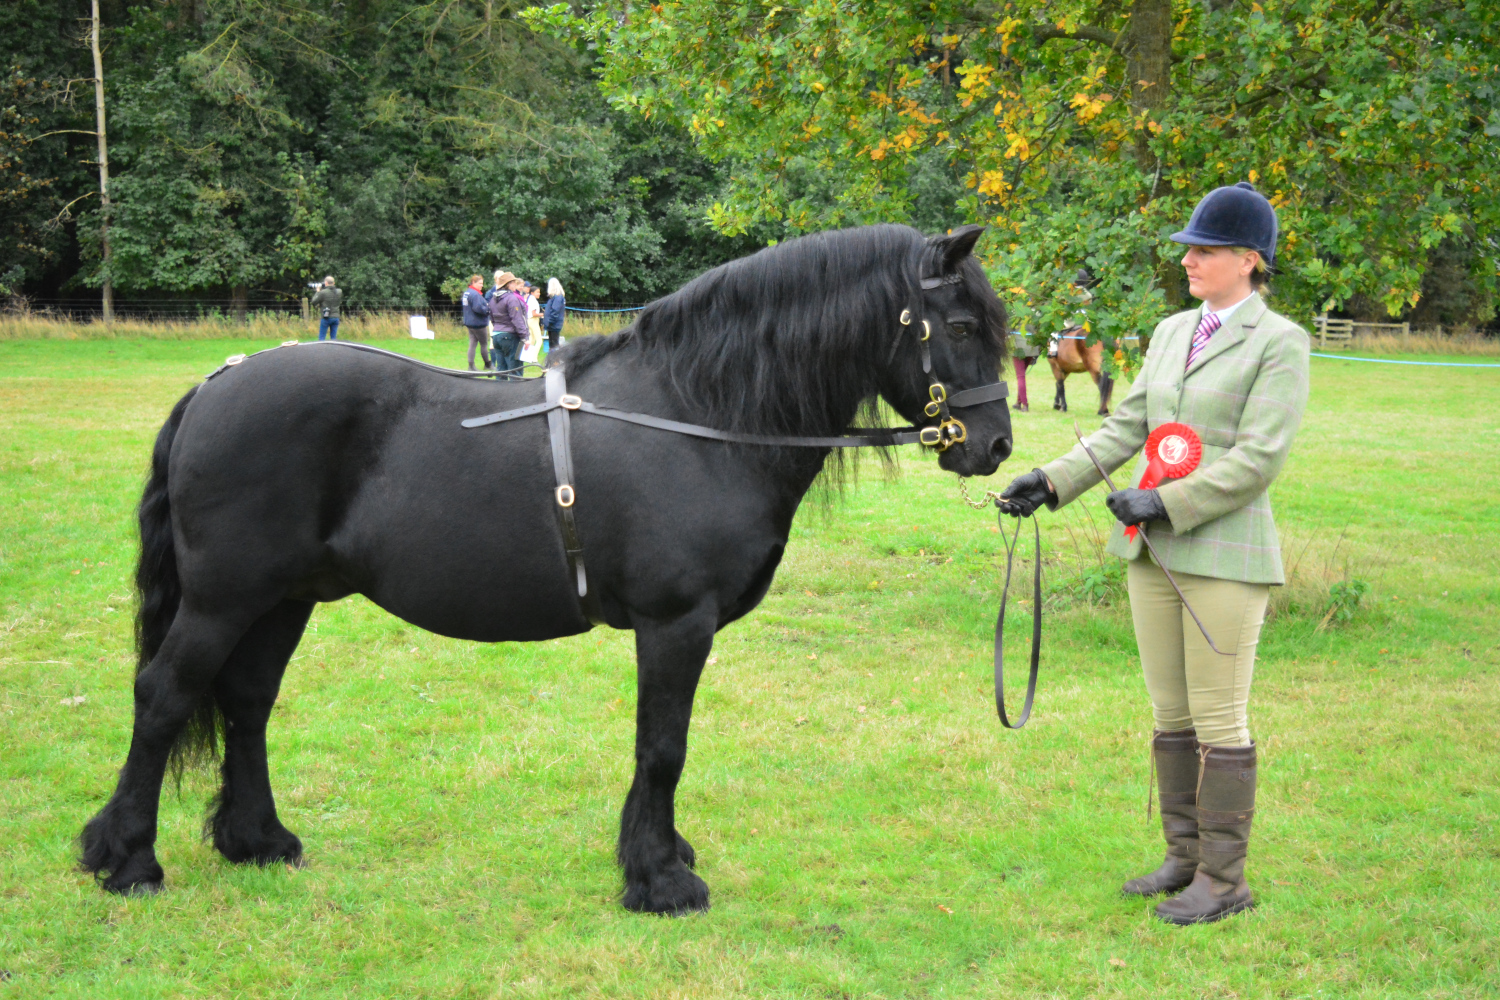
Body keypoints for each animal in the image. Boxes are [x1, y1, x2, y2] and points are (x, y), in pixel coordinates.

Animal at [85, 223, 1020, 911]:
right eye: (961, 326)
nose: (996, 448)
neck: (699, 412)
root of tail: (218, 384)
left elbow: (656, 748)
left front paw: (658, 855)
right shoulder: (675, 623)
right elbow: (663, 747)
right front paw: (661, 880)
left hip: (283, 599)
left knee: (246, 703)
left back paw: (257, 841)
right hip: (223, 599)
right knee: (164, 696)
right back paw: (126, 859)